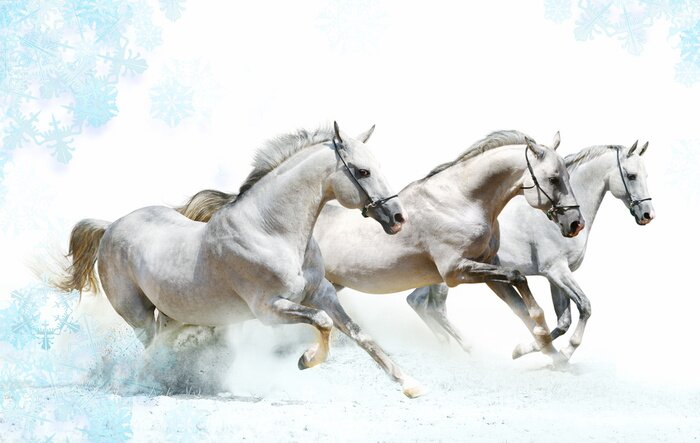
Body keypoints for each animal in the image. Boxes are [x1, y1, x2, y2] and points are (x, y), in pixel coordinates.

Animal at [57, 122, 427, 398]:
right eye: (363, 172)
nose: (397, 217)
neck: (271, 231)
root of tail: (110, 226)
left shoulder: (322, 293)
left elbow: (359, 334)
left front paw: (411, 385)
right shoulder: (269, 309)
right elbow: (322, 322)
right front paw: (306, 360)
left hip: (174, 312)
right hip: (138, 315)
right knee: (152, 347)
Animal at [177, 130, 584, 363]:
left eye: (566, 175)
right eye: (553, 178)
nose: (574, 223)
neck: (462, 200)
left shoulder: (485, 269)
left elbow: (522, 302)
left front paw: (547, 352)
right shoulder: (456, 271)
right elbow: (519, 279)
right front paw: (544, 344)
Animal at [405, 141, 654, 362]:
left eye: (646, 175)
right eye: (631, 175)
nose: (647, 215)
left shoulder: (555, 277)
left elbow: (563, 321)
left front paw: (529, 350)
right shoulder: (557, 271)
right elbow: (585, 306)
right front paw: (562, 353)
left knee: (416, 301)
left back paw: (446, 346)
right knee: (435, 308)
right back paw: (467, 348)